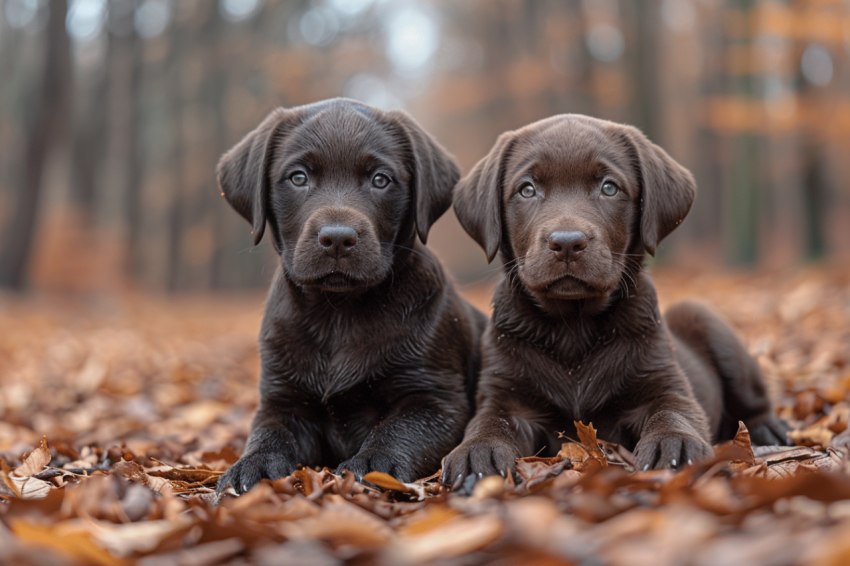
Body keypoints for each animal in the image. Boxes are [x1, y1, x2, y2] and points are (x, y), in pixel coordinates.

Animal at [215, 98, 486, 496]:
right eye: (298, 177)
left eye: (380, 180)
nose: (338, 238)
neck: (339, 313)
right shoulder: (283, 400)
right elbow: (269, 434)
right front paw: (254, 465)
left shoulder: (436, 397)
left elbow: (398, 429)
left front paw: (373, 464)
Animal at [444, 114, 788, 488]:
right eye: (526, 189)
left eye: (609, 188)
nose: (567, 243)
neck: (574, 326)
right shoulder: (504, 397)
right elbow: (488, 422)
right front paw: (476, 453)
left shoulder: (664, 384)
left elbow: (673, 412)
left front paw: (676, 444)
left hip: (704, 319)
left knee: (753, 402)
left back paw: (770, 428)